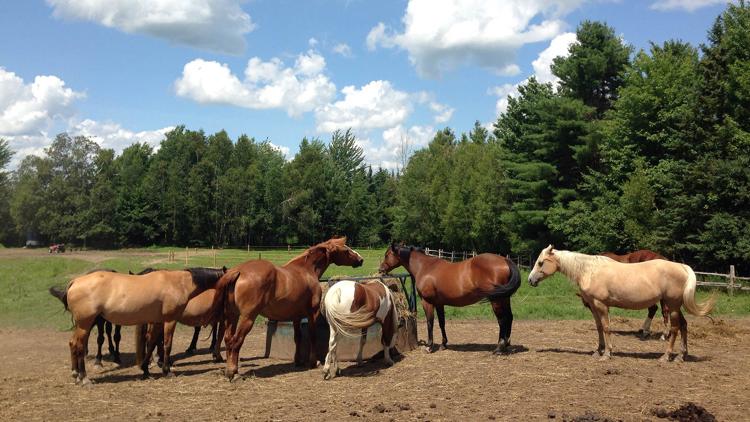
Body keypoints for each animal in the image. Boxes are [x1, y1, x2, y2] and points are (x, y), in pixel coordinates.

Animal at [55, 268, 226, 386]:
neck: (178, 283)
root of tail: (75, 282)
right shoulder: (170, 320)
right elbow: (167, 345)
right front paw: (166, 370)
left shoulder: (157, 321)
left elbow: (152, 343)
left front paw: (145, 369)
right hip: (85, 324)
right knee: (79, 346)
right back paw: (84, 377)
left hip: (83, 325)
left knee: (73, 344)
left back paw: (76, 374)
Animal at [207, 237, 366, 382]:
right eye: (346, 250)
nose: (360, 259)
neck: (306, 270)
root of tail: (238, 271)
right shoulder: (312, 313)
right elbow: (312, 336)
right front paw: (313, 361)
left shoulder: (296, 316)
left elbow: (298, 337)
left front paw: (298, 361)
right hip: (247, 318)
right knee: (236, 341)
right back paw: (233, 372)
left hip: (232, 316)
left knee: (228, 340)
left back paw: (229, 369)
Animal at [378, 242, 520, 354]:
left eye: (387, 255)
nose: (381, 269)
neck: (425, 267)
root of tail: (505, 260)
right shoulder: (439, 303)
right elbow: (442, 323)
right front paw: (443, 344)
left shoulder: (427, 302)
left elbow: (430, 322)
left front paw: (429, 346)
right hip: (504, 298)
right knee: (509, 317)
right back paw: (506, 344)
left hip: (496, 300)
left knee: (502, 320)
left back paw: (499, 348)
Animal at [528, 246, 716, 362]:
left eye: (541, 262)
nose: (530, 280)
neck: (590, 270)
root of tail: (683, 267)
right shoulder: (594, 307)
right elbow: (599, 328)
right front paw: (598, 351)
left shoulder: (601, 305)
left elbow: (606, 328)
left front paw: (607, 354)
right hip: (676, 305)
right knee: (684, 325)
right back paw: (681, 356)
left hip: (672, 305)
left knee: (675, 328)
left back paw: (666, 356)